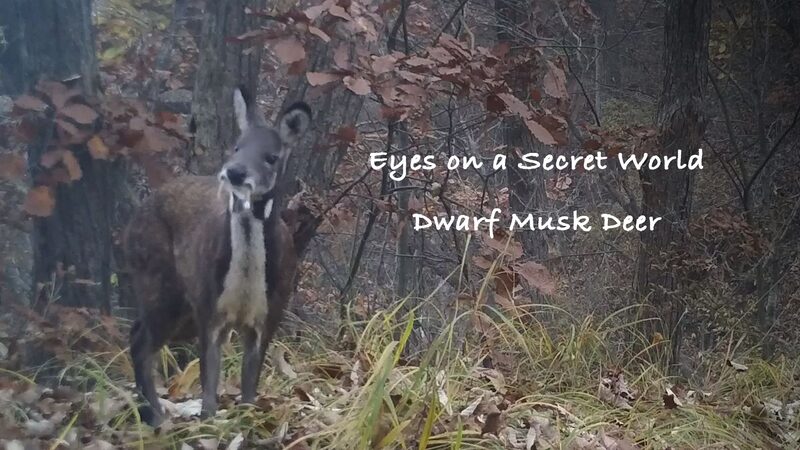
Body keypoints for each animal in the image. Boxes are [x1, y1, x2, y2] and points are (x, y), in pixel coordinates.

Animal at [124, 86, 311, 426]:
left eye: (272, 157)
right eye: (236, 147)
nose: (235, 172)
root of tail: (132, 222)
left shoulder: (270, 312)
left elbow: (249, 386)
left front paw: (248, 420)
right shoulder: (209, 306)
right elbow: (209, 384)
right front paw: (209, 421)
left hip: (180, 306)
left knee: (138, 334)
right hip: (160, 282)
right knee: (141, 341)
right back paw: (156, 416)